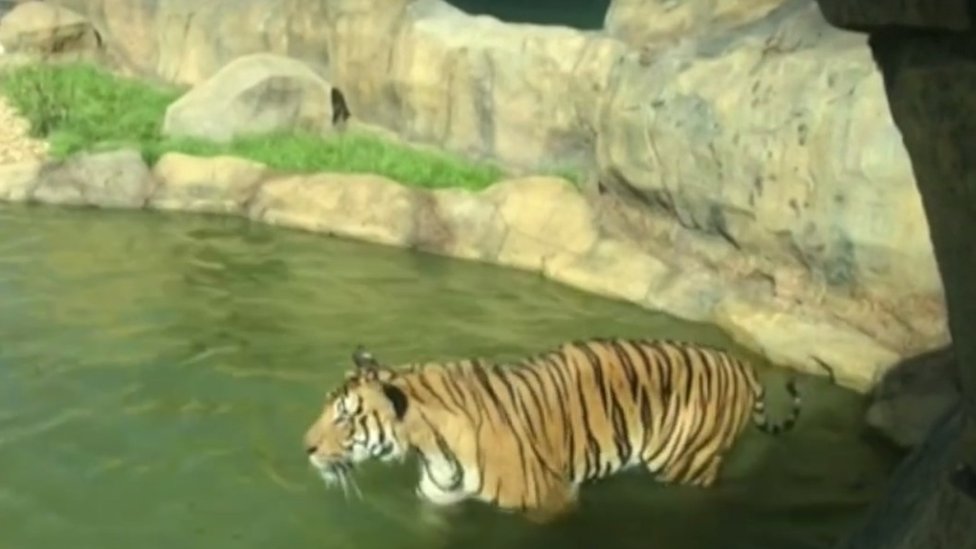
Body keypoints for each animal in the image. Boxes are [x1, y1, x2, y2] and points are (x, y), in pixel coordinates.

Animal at [302, 337, 813, 523]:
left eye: (344, 417)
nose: (305, 448)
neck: (428, 445)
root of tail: (742, 364)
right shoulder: (439, 498)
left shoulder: (552, 500)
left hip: (688, 464)